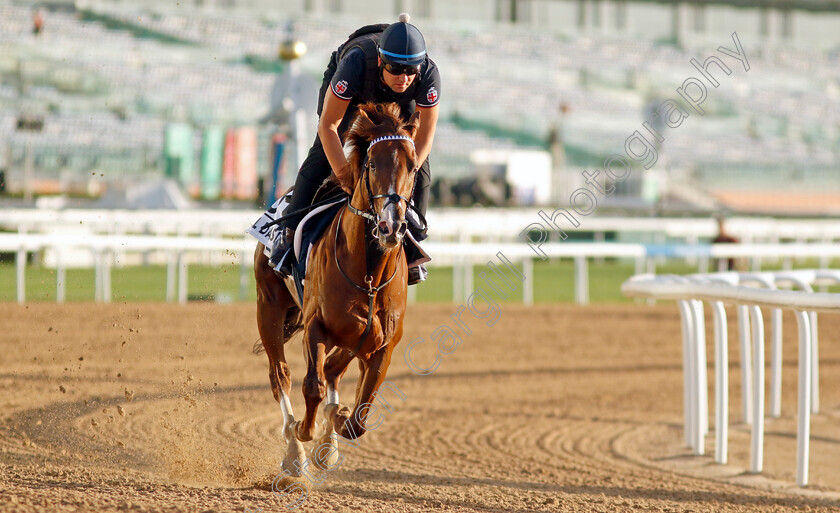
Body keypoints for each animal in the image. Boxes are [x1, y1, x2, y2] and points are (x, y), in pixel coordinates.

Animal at [251, 103, 418, 476]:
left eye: (413, 166)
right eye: (373, 164)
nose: (391, 226)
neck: (368, 275)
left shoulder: (382, 342)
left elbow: (358, 414)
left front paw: (335, 424)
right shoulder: (317, 325)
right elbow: (312, 386)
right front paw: (305, 431)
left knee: (331, 372)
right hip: (268, 304)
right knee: (280, 375)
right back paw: (294, 449)